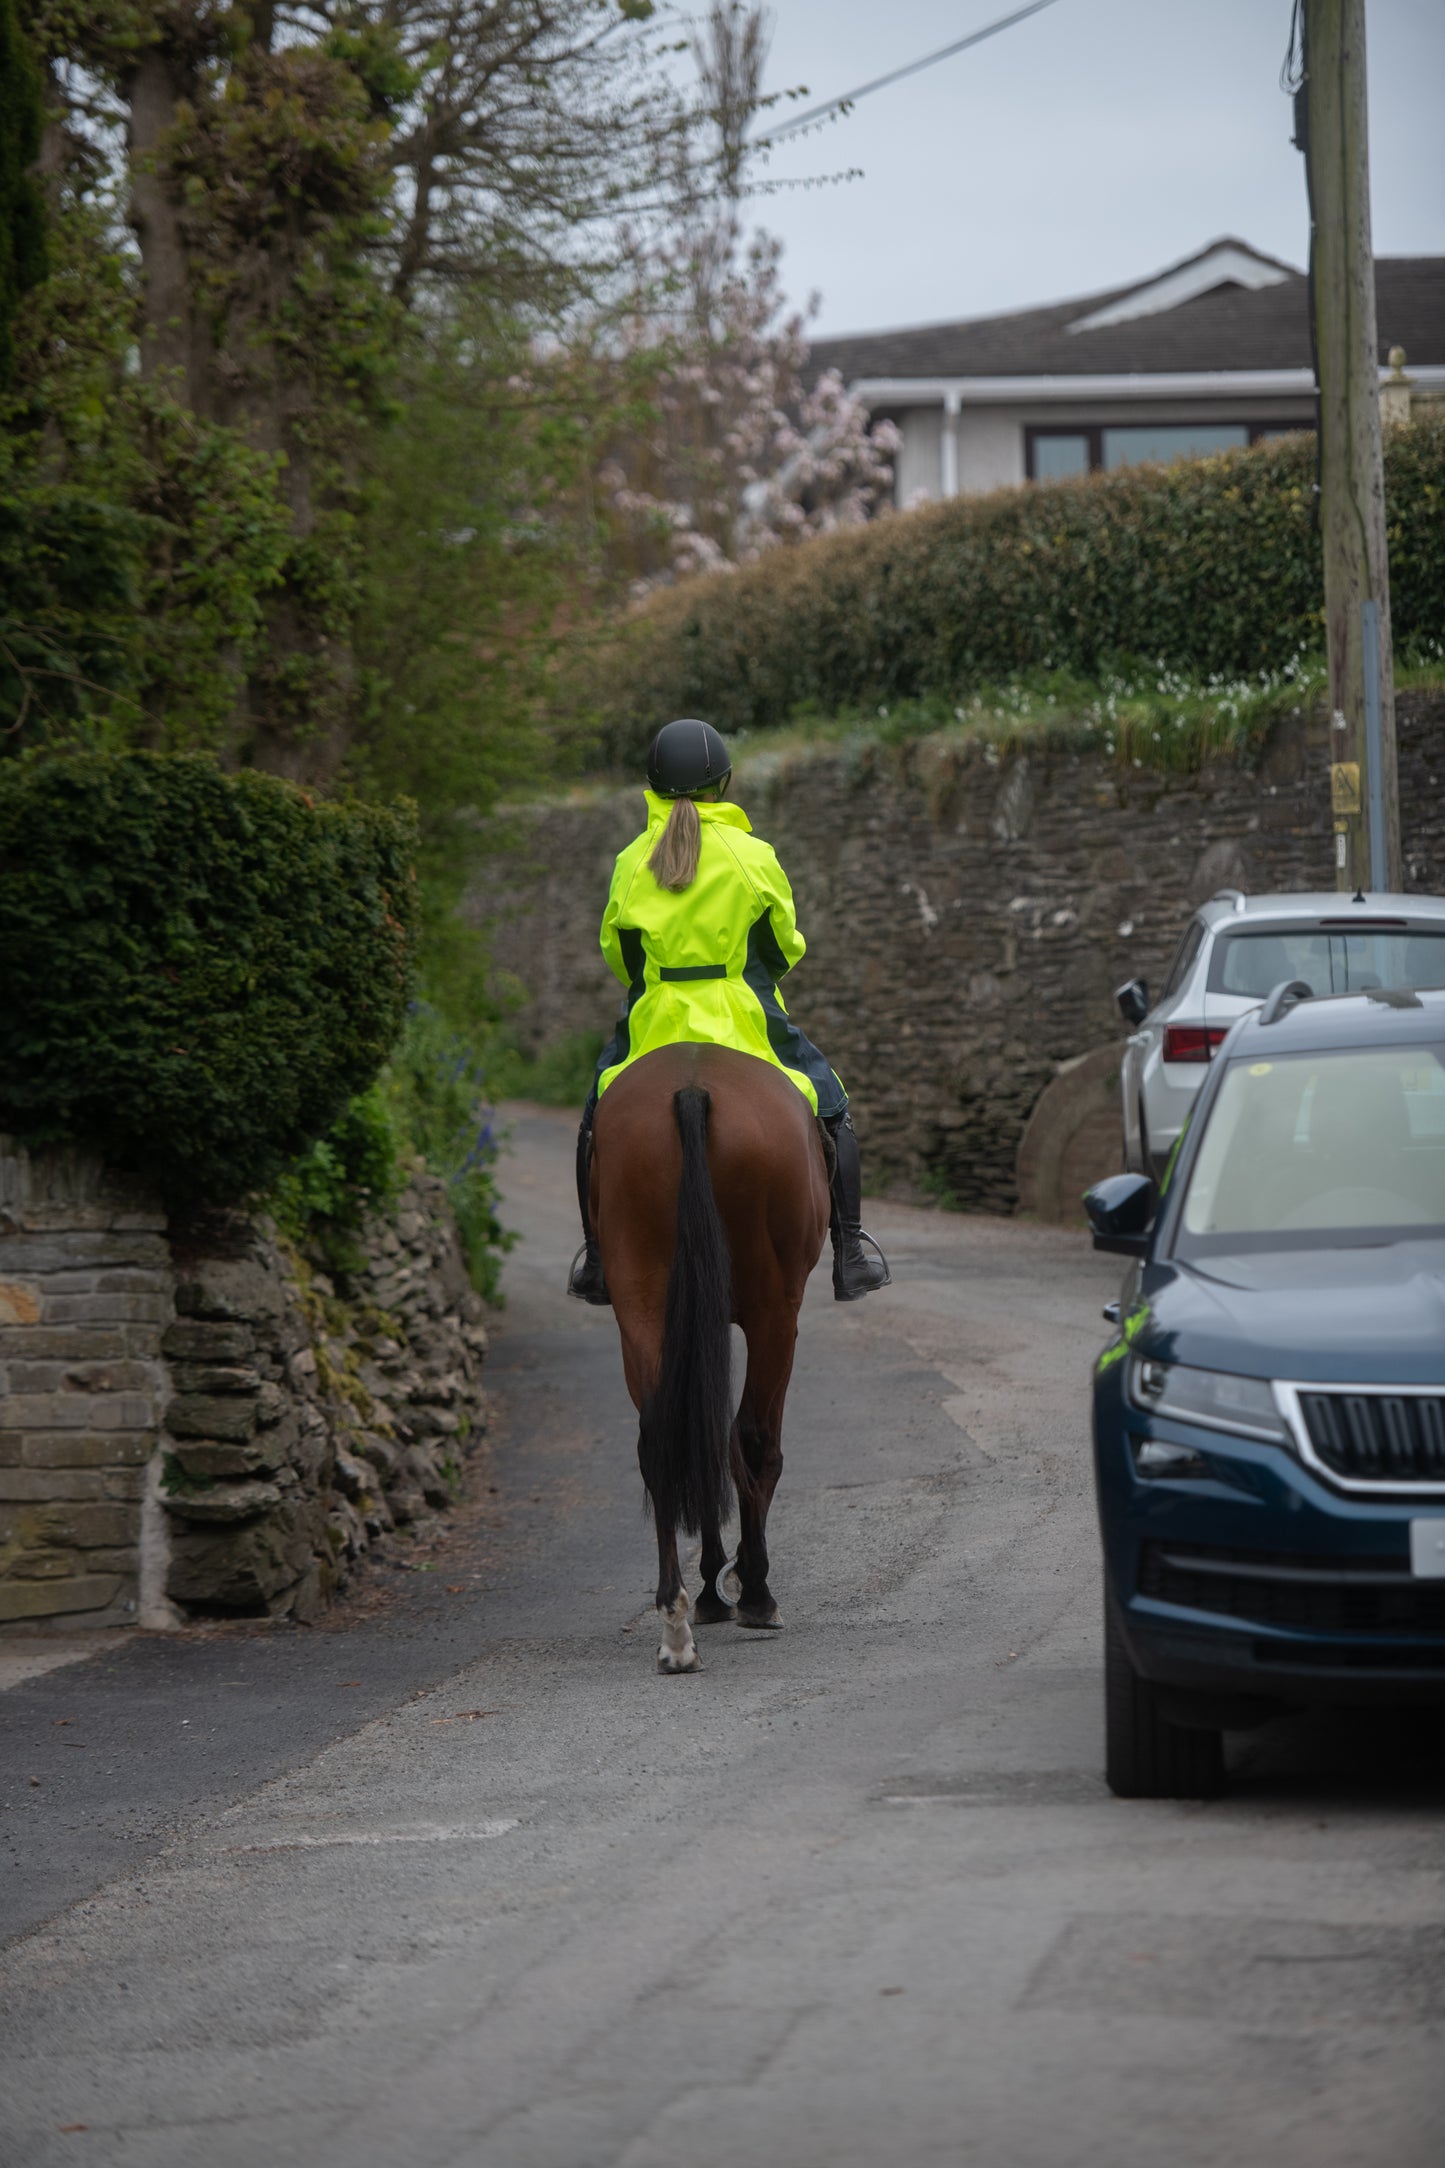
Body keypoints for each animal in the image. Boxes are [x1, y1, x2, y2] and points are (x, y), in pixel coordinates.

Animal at [589, 1040, 831, 1665]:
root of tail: (692, 1089)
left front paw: (712, 1586)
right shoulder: (776, 1317)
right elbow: (746, 1442)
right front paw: (744, 1583)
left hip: (643, 1304)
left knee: (663, 1437)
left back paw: (675, 1624)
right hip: (775, 1314)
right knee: (753, 1438)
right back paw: (757, 1593)